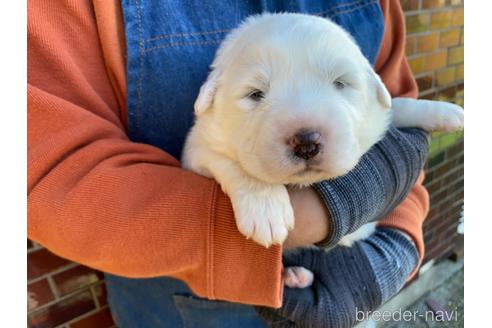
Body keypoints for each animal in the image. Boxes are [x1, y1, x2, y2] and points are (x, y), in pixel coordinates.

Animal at [182, 14, 466, 288]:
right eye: (255, 94)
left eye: (340, 83)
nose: (306, 142)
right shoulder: (196, 148)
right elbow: (232, 165)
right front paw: (266, 209)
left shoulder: (380, 112)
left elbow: (397, 104)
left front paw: (445, 111)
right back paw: (294, 275)